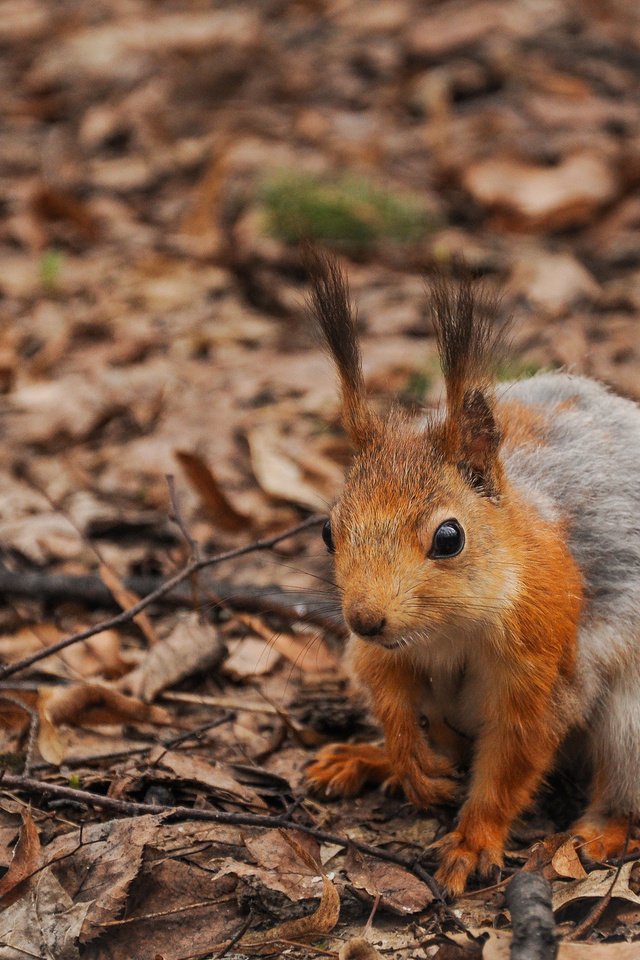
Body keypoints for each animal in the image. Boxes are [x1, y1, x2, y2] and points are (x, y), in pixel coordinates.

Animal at [304, 251, 640, 896]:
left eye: (449, 537)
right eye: (329, 531)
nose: (365, 619)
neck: (448, 628)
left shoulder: (544, 663)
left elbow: (513, 760)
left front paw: (472, 842)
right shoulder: (384, 652)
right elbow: (387, 690)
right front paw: (404, 757)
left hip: (633, 724)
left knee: (622, 791)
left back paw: (597, 834)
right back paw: (369, 759)